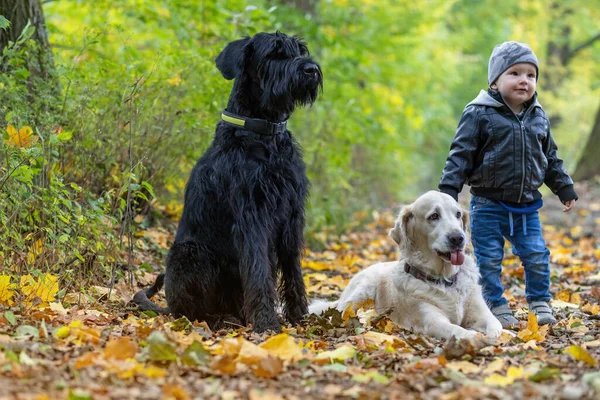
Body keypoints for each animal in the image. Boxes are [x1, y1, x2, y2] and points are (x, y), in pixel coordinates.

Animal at [134, 31, 324, 332]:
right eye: (275, 53)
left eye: (300, 50)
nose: (311, 69)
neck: (264, 134)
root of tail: (168, 307)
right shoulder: (253, 215)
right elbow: (258, 271)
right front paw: (267, 323)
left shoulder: (292, 215)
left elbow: (294, 269)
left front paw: (299, 317)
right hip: (191, 254)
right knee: (190, 310)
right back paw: (218, 321)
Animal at [310, 192, 502, 340]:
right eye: (434, 216)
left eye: (458, 215)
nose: (458, 238)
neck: (444, 279)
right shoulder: (431, 320)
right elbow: (457, 329)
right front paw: (475, 336)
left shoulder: (479, 311)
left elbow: (495, 323)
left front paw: (500, 334)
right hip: (362, 290)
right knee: (342, 312)